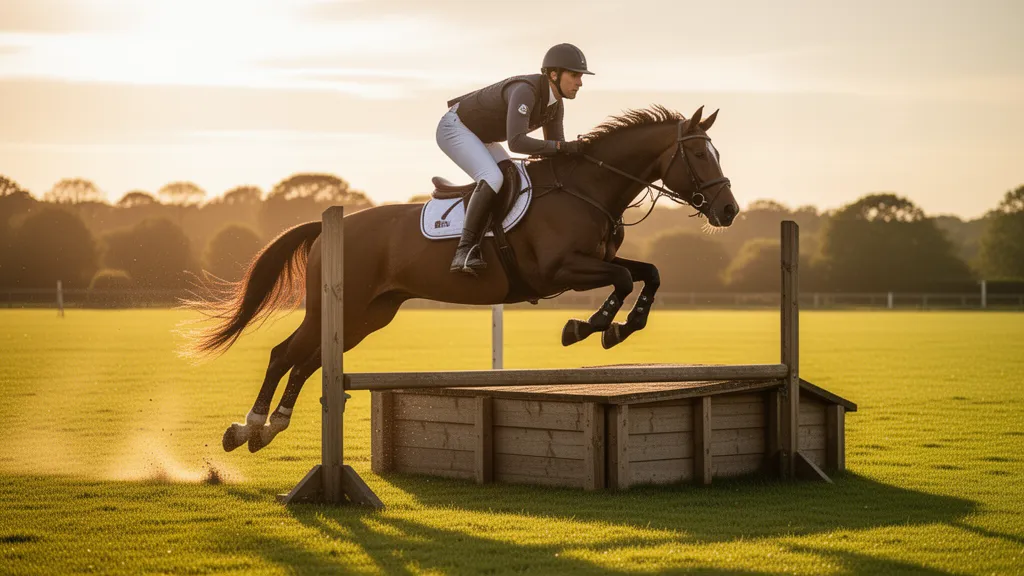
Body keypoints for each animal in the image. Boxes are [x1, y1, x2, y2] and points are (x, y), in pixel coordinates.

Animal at [184, 105, 740, 454]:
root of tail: (328, 225)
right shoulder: (560, 270)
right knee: (287, 355)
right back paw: (248, 427)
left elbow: (648, 274)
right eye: (698, 155)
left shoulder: (593, 263)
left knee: (310, 362)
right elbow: (623, 279)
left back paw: (268, 428)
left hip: (367, 316)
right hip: (338, 307)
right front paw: (588, 327)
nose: (729, 211)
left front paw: (623, 327)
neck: (588, 187)